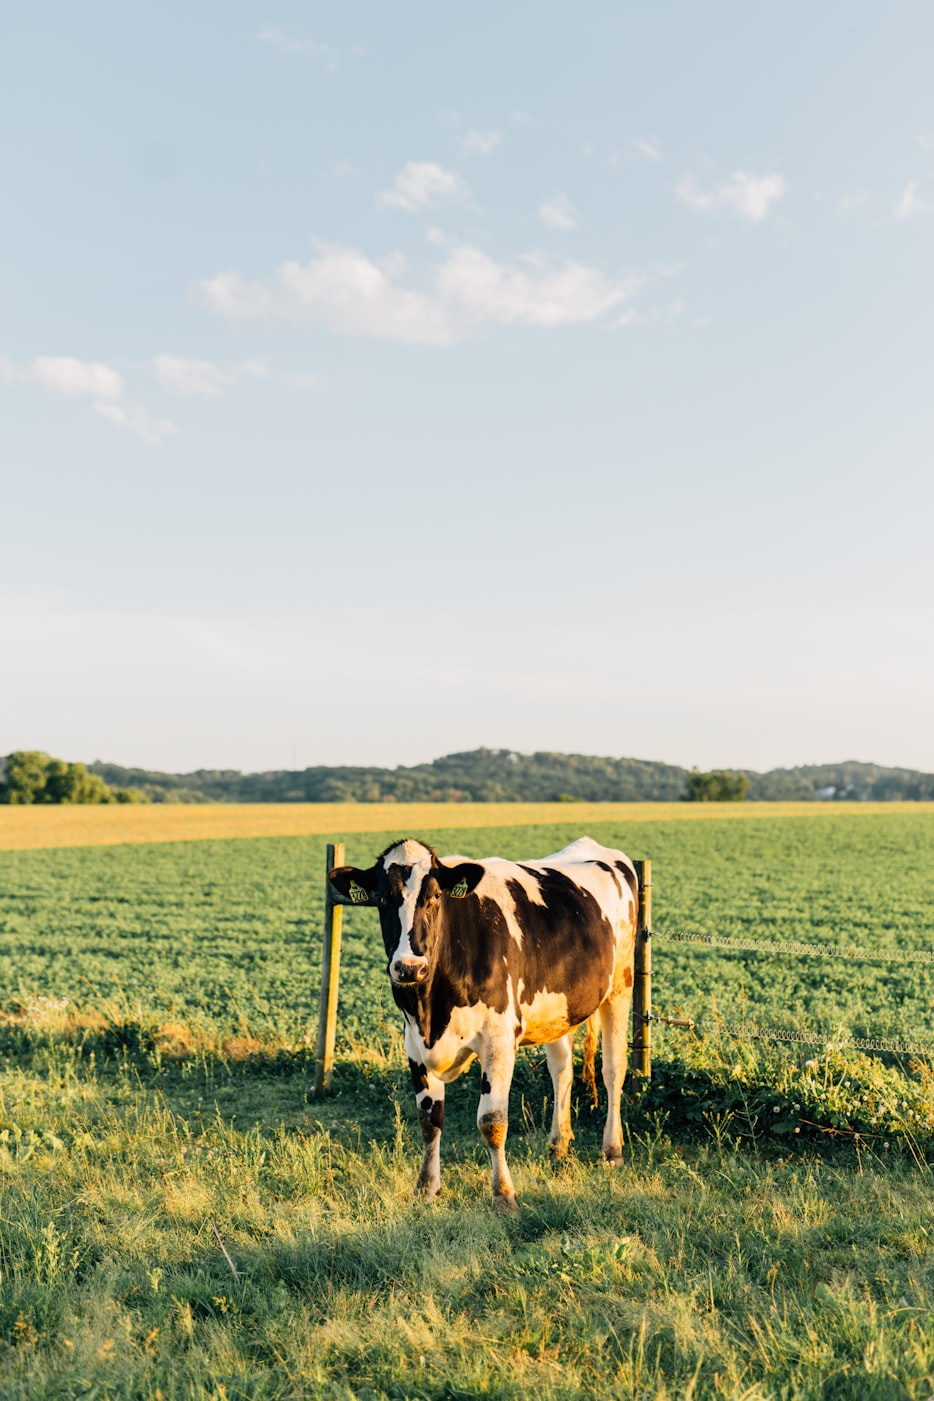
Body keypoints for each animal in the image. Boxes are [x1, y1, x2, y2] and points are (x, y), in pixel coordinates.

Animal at [324, 834, 638, 1210]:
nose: (409, 967)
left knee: (613, 1070)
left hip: (620, 985)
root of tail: (600, 849)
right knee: (562, 1070)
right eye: (382, 898)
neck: (432, 1007)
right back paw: (557, 1146)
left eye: (436, 896)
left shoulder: (499, 1038)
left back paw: (612, 1151)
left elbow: (492, 1121)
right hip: (557, 1009)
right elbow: (429, 1120)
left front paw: (503, 1194)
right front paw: (426, 1187)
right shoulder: (414, 1043)